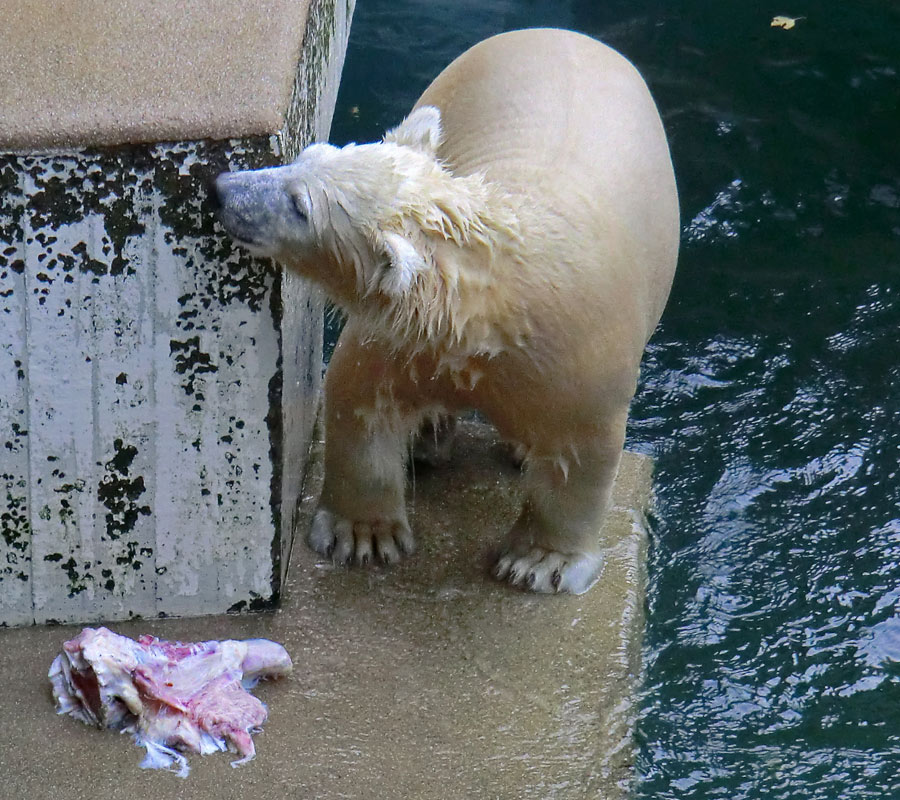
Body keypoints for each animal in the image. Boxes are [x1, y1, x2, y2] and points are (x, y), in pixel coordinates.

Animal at [214, 28, 680, 592]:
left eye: (300, 205)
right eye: (307, 153)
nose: (220, 189)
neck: (496, 311)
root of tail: (565, 34)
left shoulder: (584, 361)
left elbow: (579, 458)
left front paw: (538, 563)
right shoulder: (403, 339)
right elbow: (360, 399)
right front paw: (364, 535)